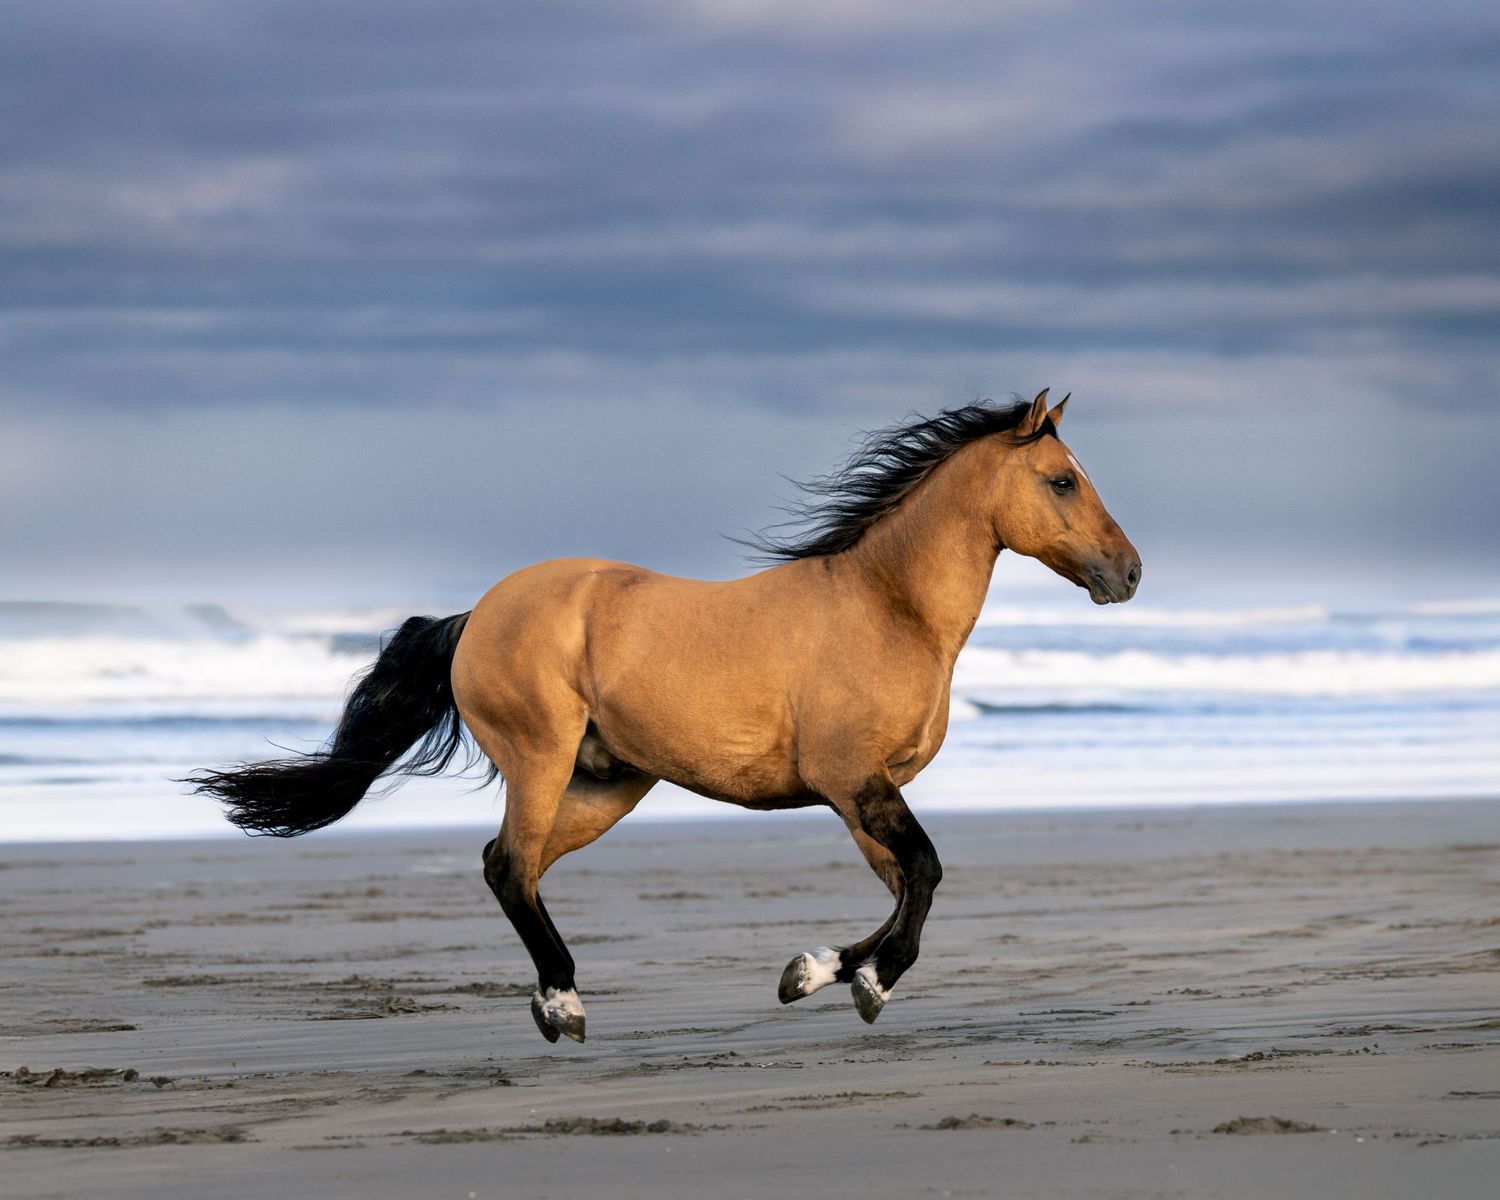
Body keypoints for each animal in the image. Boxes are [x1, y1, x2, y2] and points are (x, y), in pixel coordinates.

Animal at [191, 390, 1140, 1043]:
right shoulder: (854, 782)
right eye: (1062, 481)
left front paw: (812, 972)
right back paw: (564, 1003)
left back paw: (550, 1001)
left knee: (515, 868)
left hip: (606, 787)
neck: (887, 608)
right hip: (543, 760)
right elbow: (927, 873)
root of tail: (475, 616)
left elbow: (904, 883)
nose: (1127, 573)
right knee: (509, 866)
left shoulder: (863, 795)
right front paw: (870, 983)